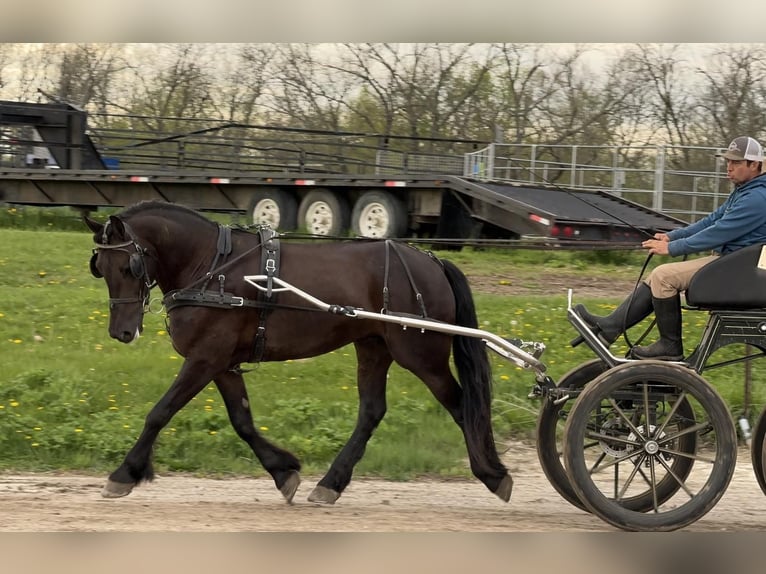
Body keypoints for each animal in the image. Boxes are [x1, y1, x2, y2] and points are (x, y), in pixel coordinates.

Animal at [84, 200, 512, 506]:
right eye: (100, 267)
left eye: (129, 266)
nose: (122, 331)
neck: (211, 266)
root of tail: (431, 260)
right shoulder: (222, 363)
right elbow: (242, 421)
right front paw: (283, 472)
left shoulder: (205, 358)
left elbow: (160, 412)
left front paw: (124, 473)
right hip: (373, 346)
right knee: (372, 411)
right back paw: (331, 484)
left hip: (421, 354)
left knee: (462, 405)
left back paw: (494, 474)